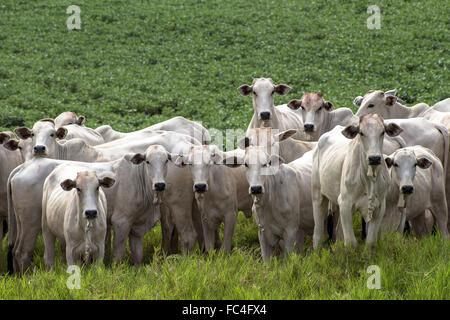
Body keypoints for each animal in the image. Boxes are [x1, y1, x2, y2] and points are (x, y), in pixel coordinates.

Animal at [312, 114, 402, 248]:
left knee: (338, 231)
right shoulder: (345, 203)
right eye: (361, 133)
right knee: (317, 234)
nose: (374, 158)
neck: (369, 180)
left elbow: (371, 242)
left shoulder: (380, 207)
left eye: (382, 132)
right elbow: (351, 242)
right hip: (318, 195)